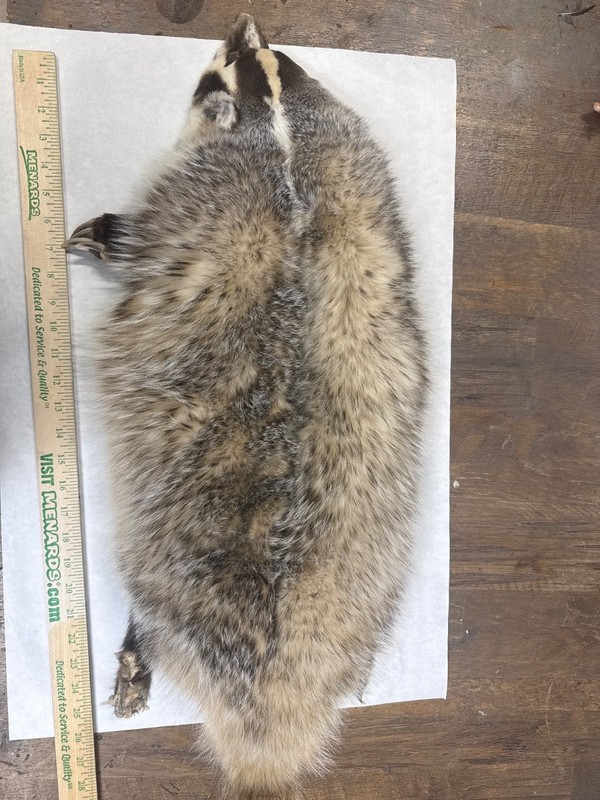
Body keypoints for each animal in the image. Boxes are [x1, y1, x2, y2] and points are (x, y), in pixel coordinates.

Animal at [65, 14, 427, 799]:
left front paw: (102, 232)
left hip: (165, 566)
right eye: (271, 57)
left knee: (152, 607)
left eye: (222, 68)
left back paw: (133, 661)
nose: (242, 23)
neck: (287, 139)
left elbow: (141, 233)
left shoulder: (185, 191)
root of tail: (271, 714)